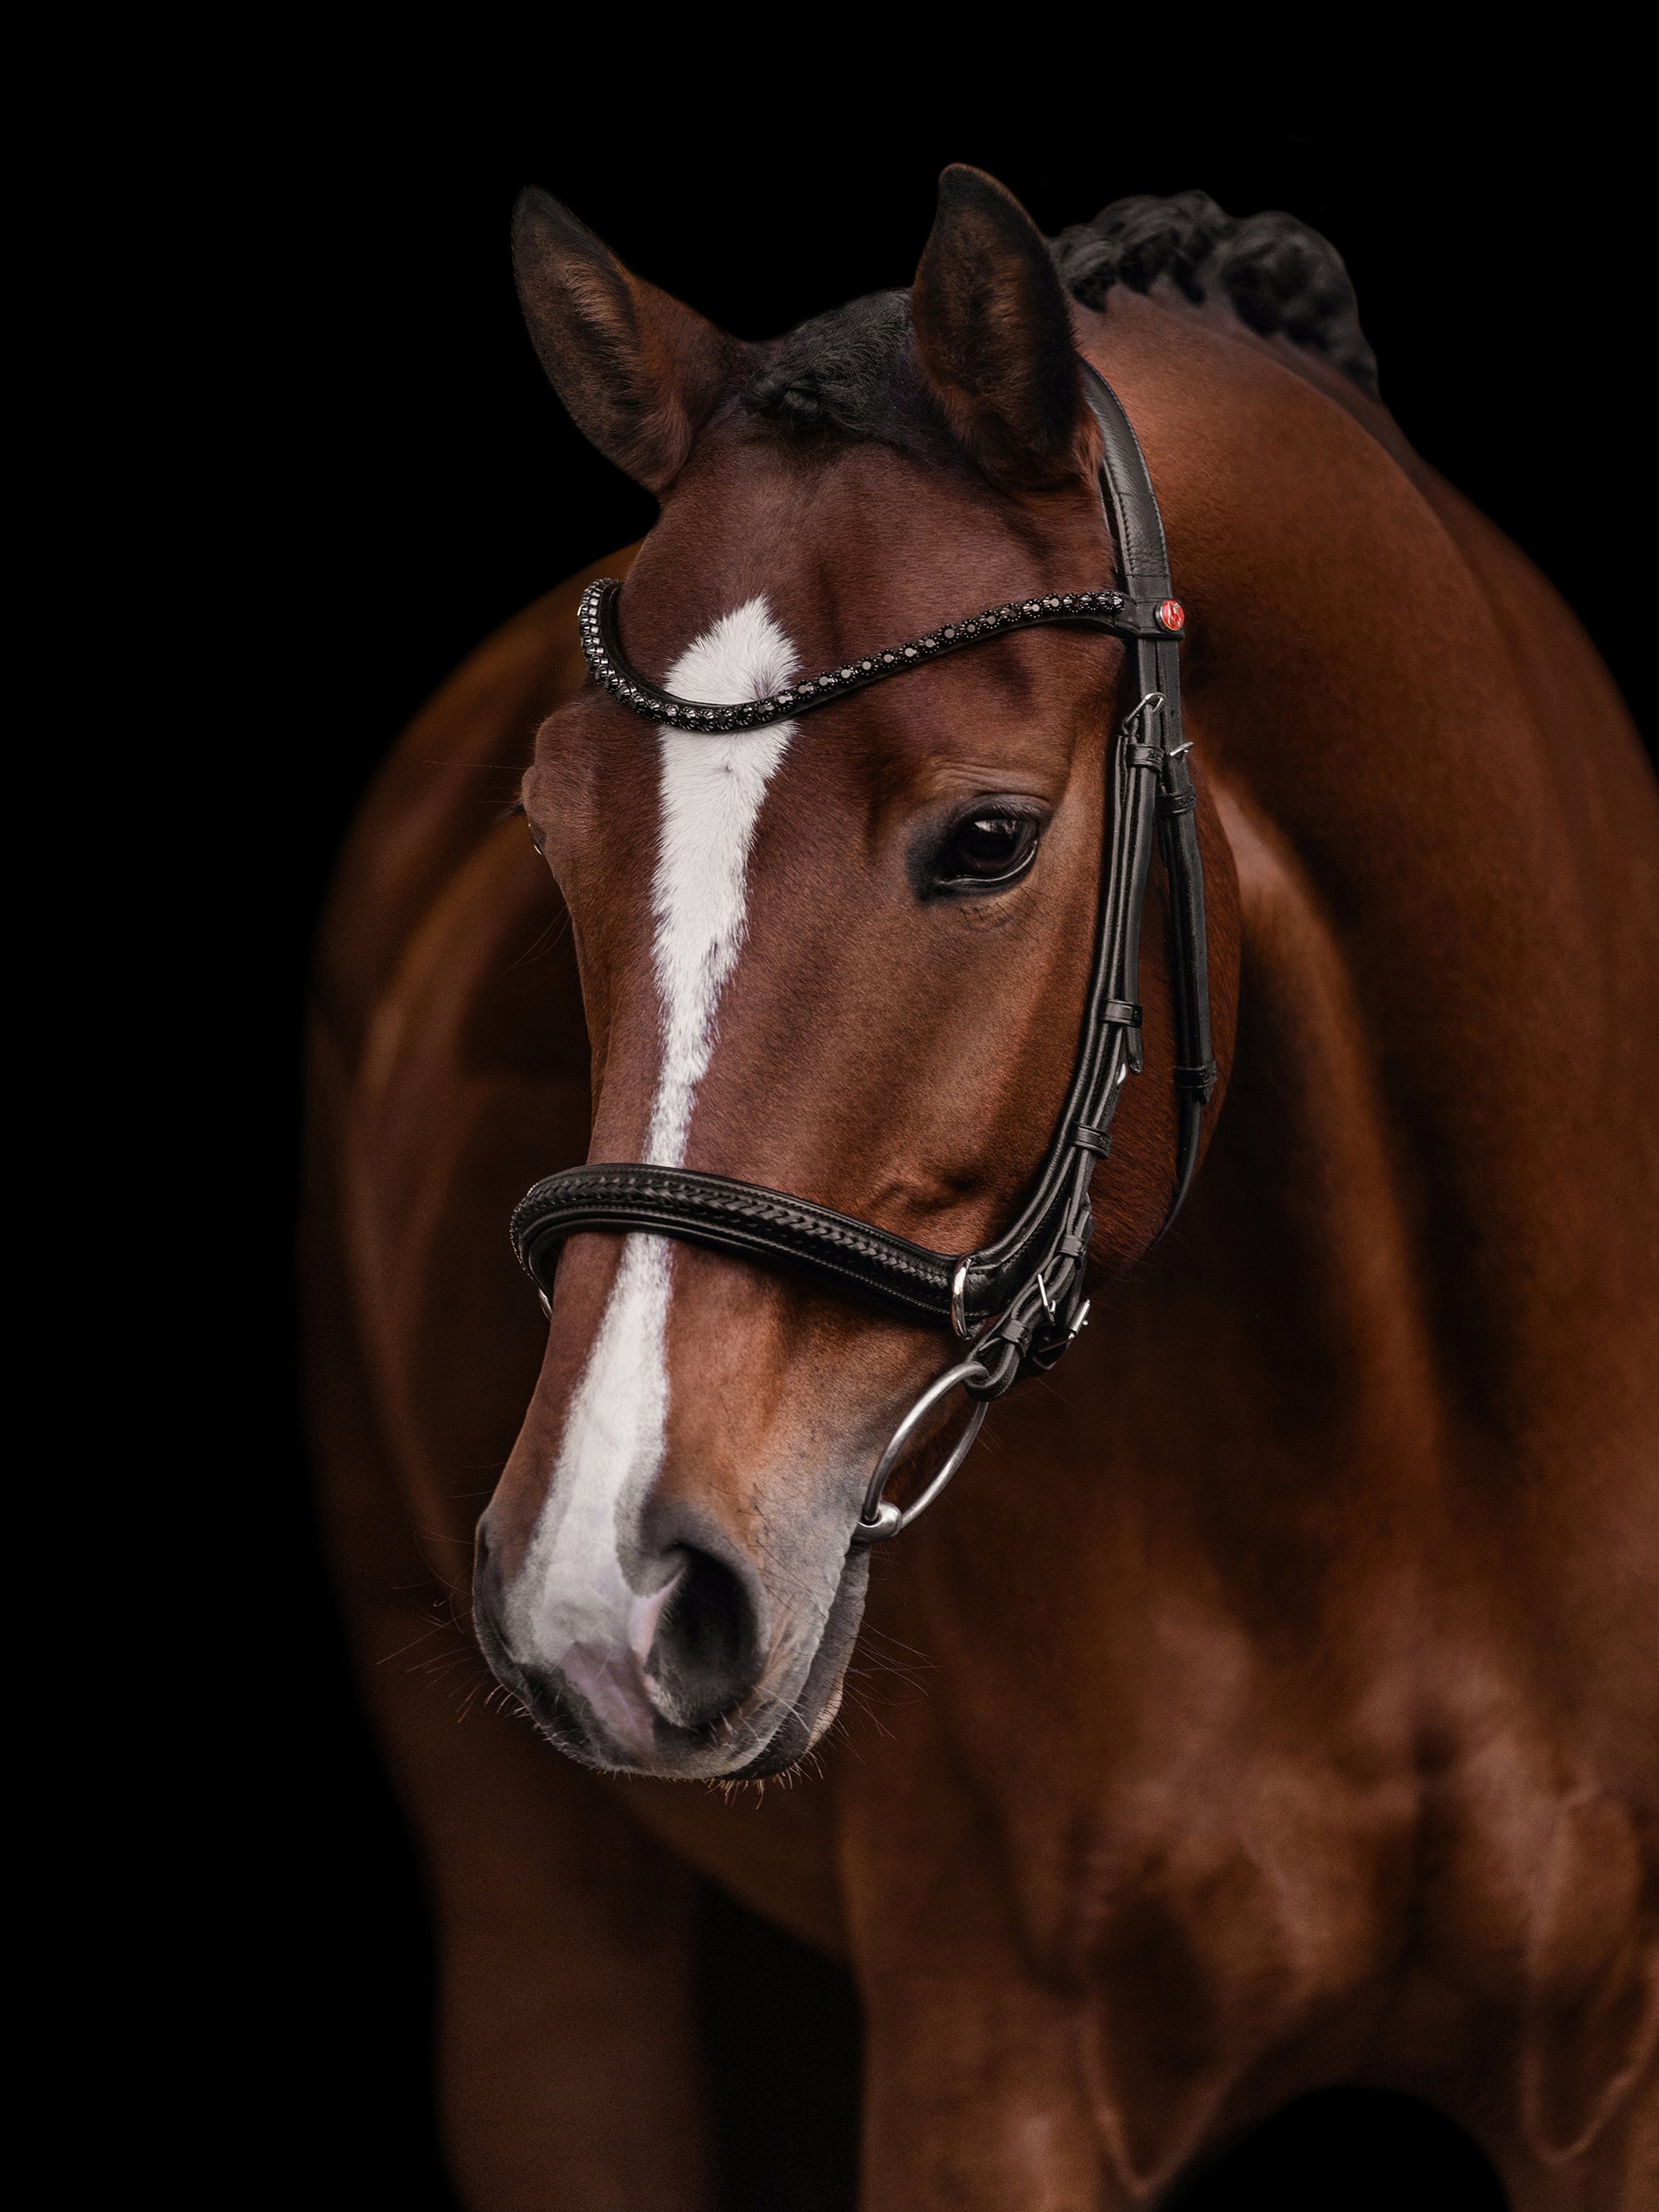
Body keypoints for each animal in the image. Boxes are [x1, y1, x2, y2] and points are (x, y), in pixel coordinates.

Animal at [304, 167, 1659, 2208]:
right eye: (550, 824)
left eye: (992, 839)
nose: (603, 1593)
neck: (1409, 1461)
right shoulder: (995, 2083)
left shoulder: (1617, 2083)